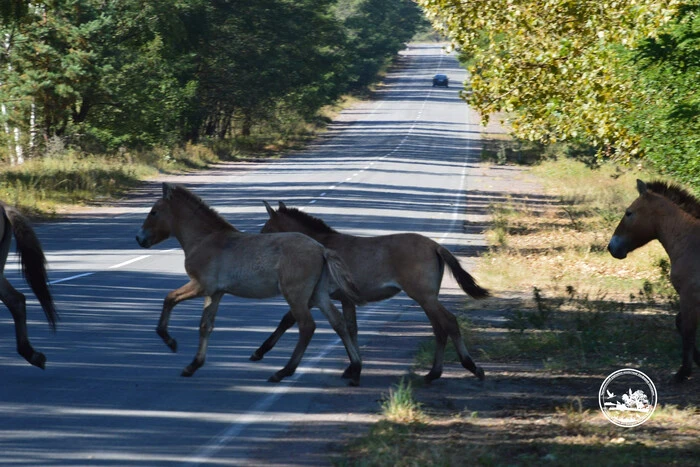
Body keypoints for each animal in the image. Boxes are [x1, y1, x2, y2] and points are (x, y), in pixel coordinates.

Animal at [138, 185, 366, 386]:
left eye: (154, 212)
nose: (139, 239)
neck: (205, 239)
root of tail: (321, 249)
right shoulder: (215, 293)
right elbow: (205, 326)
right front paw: (193, 365)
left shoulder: (200, 286)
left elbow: (170, 298)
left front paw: (170, 341)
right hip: (317, 295)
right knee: (339, 323)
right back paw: (355, 370)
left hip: (296, 295)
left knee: (307, 326)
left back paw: (283, 372)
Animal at [258, 202, 492, 384]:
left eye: (268, 228)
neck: (320, 245)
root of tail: (435, 246)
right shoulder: (344, 300)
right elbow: (351, 329)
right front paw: (353, 368)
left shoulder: (314, 296)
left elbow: (288, 320)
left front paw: (261, 352)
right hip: (427, 298)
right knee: (439, 329)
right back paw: (433, 373)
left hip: (424, 296)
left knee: (449, 322)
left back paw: (470, 367)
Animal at [608, 181, 700, 382]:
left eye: (629, 212)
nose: (611, 247)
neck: (691, 243)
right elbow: (681, 324)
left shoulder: (689, 296)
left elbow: (687, 330)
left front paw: (683, 372)